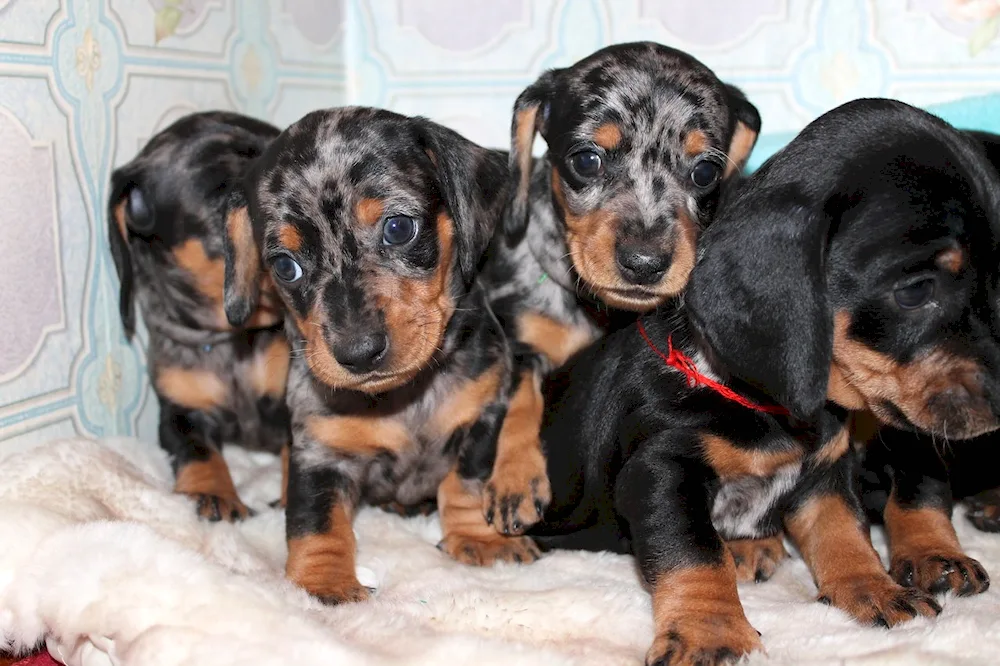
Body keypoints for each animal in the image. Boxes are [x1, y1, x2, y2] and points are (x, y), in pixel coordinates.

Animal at [222, 106, 520, 600]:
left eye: (399, 228)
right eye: (285, 266)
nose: (358, 353)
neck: (404, 397)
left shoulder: (483, 417)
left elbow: (465, 484)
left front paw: (480, 539)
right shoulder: (319, 451)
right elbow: (316, 520)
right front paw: (325, 583)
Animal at [524, 100, 1000, 664]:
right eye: (915, 291)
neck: (767, 405)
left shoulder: (824, 472)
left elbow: (846, 531)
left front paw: (874, 588)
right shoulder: (662, 470)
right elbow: (695, 554)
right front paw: (711, 631)